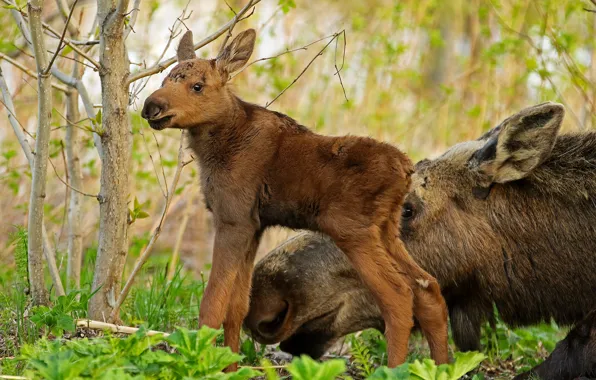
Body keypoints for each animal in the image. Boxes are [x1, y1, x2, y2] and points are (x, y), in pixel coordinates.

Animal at [140, 29, 448, 368]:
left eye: (197, 86)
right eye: (166, 79)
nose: (151, 107)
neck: (213, 148)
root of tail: (405, 168)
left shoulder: (232, 218)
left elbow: (212, 306)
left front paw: (204, 363)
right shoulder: (254, 225)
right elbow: (237, 308)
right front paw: (231, 367)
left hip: (353, 230)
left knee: (398, 294)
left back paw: (395, 369)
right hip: (387, 230)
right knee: (428, 288)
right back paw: (442, 366)